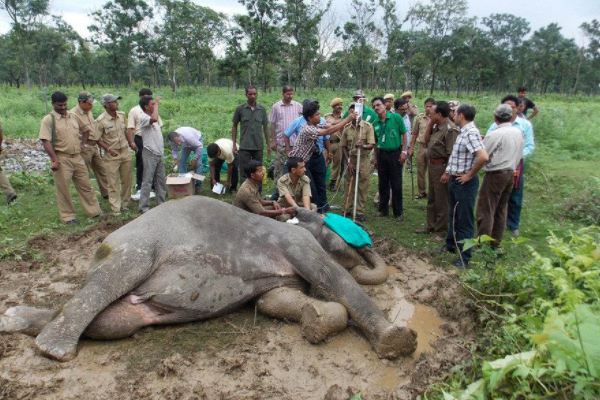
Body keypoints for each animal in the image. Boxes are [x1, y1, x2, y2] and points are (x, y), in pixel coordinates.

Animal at [0, 197, 418, 362]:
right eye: (344, 232)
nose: (366, 245)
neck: (295, 221)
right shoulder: (299, 244)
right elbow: (333, 277)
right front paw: (396, 342)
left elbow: (273, 300)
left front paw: (318, 320)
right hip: (132, 246)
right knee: (112, 280)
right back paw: (53, 350)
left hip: (127, 301)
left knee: (115, 321)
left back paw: (14, 320)